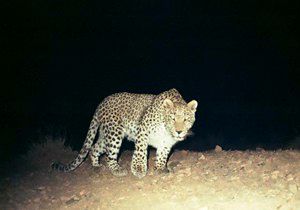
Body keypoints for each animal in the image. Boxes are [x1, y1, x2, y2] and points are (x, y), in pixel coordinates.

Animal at [51, 88, 197, 178]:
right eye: (173, 119)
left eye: (186, 119)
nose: (179, 132)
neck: (166, 129)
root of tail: (102, 102)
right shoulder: (143, 131)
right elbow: (141, 151)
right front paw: (138, 169)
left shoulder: (167, 142)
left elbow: (163, 155)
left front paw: (160, 168)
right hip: (114, 133)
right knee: (110, 155)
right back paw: (117, 169)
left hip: (105, 134)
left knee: (94, 147)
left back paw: (96, 165)